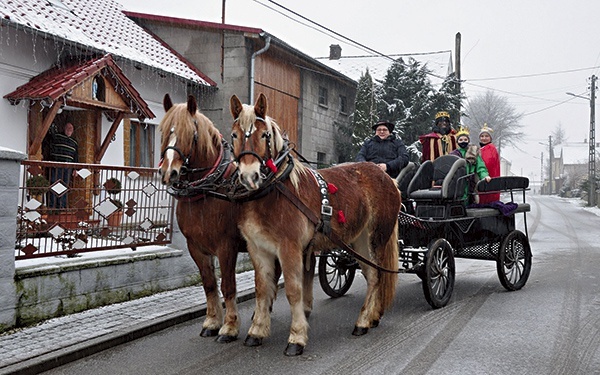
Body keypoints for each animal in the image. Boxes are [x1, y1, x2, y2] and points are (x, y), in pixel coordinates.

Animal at [159, 94, 246, 344]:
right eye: (164, 131)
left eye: (191, 134)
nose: (169, 173)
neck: (207, 191)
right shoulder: (196, 246)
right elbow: (209, 284)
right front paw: (212, 322)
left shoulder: (227, 246)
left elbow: (228, 286)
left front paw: (229, 327)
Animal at [230, 92, 404, 356]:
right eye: (234, 134)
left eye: (264, 135)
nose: (250, 176)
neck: (276, 191)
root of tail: (387, 177)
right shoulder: (258, 249)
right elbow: (263, 289)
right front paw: (256, 332)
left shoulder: (289, 248)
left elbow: (294, 291)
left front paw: (296, 338)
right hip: (359, 241)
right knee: (372, 274)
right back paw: (370, 318)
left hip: (377, 238)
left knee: (376, 276)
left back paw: (363, 321)